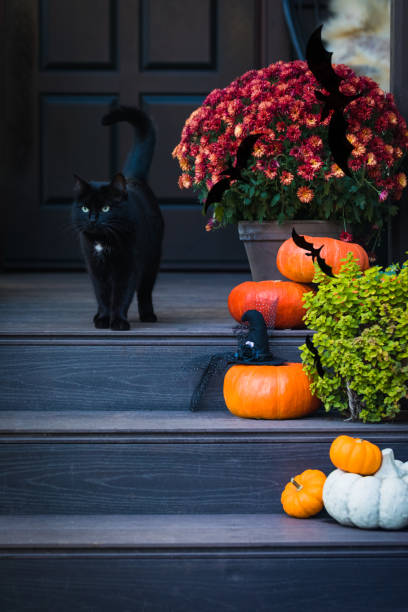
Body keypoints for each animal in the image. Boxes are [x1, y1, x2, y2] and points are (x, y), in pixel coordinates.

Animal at [73, 107, 164, 332]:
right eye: (85, 207)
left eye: (106, 208)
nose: (93, 218)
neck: (104, 242)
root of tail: (132, 177)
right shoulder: (95, 267)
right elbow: (103, 295)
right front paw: (103, 319)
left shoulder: (129, 266)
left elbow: (122, 295)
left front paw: (118, 322)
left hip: (153, 258)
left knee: (145, 291)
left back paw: (148, 315)